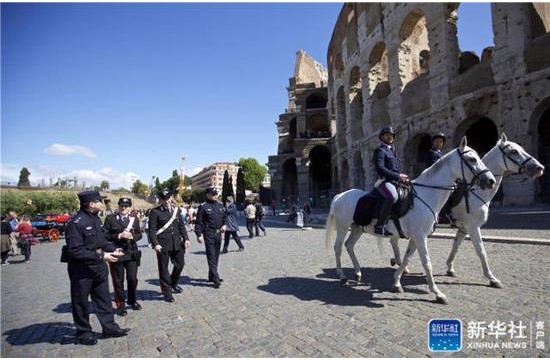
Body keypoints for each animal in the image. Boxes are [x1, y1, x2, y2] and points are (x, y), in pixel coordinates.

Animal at [326, 137, 498, 304]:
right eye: (472, 159)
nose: (491, 180)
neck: (427, 194)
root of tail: (340, 195)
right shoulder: (421, 236)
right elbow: (427, 263)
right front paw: (438, 293)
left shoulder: (417, 236)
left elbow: (407, 258)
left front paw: (396, 282)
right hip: (342, 227)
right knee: (338, 248)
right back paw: (342, 276)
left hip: (357, 228)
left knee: (349, 245)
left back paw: (357, 272)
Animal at [392, 132, 548, 286]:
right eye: (514, 151)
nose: (539, 168)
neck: (475, 192)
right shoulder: (473, 226)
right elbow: (481, 250)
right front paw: (491, 278)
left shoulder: (464, 228)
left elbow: (456, 246)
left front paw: (450, 268)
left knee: (394, 240)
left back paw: (401, 265)